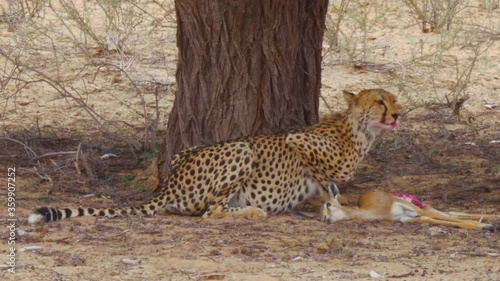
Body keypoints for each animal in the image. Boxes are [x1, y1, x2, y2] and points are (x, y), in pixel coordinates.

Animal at [28, 88, 402, 222]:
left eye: (394, 100)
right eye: (379, 101)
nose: (399, 114)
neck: (360, 131)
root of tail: (169, 182)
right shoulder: (297, 138)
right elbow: (327, 178)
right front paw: (334, 199)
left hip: (185, 152)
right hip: (242, 148)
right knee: (211, 212)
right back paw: (252, 211)